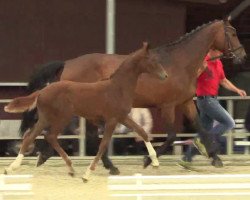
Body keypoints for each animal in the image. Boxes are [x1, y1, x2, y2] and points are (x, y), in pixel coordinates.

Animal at [3, 42, 167, 181]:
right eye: (152, 60)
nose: (165, 75)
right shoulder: (111, 120)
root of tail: (42, 91)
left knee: (32, 137)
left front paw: (155, 162)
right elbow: (103, 145)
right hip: (61, 118)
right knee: (49, 136)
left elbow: (142, 132)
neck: (117, 88)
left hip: (46, 118)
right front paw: (87, 174)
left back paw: (15, 167)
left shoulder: (122, 117)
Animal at [19, 18, 246, 169]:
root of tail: (68, 63)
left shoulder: (186, 103)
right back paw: (106, 165)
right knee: (79, 133)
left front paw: (215, 157)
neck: (179, 63)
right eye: (233, 33)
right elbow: (172, 135)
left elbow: (201, 129)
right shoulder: (168, 106)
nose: (242, 56)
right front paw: (147, 160)